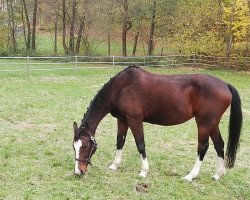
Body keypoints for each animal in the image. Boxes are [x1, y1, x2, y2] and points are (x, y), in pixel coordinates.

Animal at [72, 66, 242, 181]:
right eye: (74, 147)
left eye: (85, 146)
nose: (78, 172)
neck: (121, 88)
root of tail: (225, 84)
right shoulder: (122, 119)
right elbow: (120, 141)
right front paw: (114, 165)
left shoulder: (134, 119)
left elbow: (140, 144)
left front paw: (143, 171)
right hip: (213, 123)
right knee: (219, 144)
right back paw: (218, 174)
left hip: (204, 123)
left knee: (203, 147)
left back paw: (191, 175)